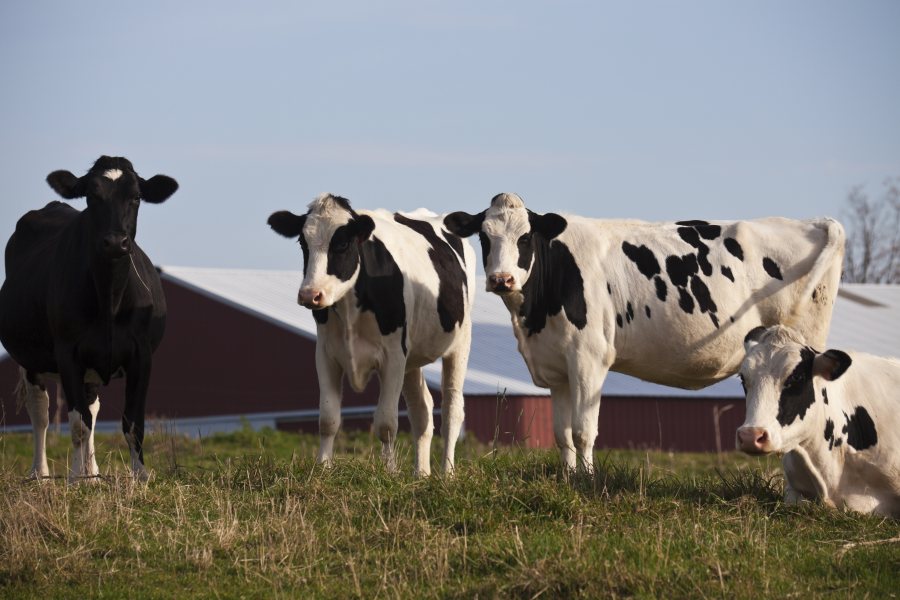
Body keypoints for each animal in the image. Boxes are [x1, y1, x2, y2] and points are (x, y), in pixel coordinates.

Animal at [0, 156, 178, 482]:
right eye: (91, 196)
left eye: (136, 197)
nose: (116, 243)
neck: (110, 298)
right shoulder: (68, 352)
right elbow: (77, 424)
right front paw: (75, 479)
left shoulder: (142, 355)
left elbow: (132, 422)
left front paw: (139, 476)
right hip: (30, 359)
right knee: (40, 412)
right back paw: (40, 474)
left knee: (92, 408)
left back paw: (93, 473)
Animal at [268, 195, 478, 476]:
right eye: (303, 242)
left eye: (342, 243)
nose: (310, 295)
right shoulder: (325, 354)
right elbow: (328, 418)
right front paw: (323, 468)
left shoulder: (393, 356)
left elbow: (386, 423)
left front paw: (389, 472)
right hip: (412, 358)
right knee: (422, 410)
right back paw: (421, 474)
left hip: (459, 343)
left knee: (451, 409)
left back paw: (447, 473)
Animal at [446, 195, 848, 472]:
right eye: (484, 237)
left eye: (526, 237)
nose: (501, 279)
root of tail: (814, 222)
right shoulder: (557, 365)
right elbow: (562, 434)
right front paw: (567, 478)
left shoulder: (589, 358)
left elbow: (584, 430)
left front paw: (586, 481)